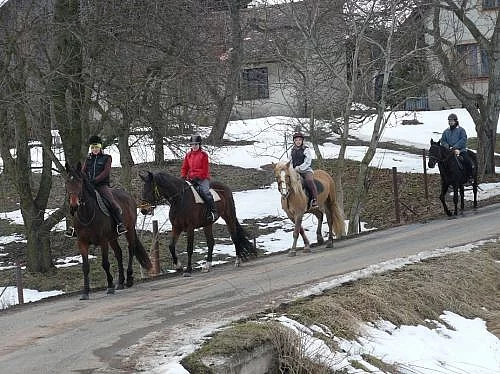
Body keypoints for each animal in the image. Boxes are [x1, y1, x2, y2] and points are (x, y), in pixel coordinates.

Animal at [65, 162, 153, 300]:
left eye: (79, 181)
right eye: (67, 181)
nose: (74, 205)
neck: (87, 214)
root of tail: (127, 195)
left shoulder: (103, 241)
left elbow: (105, 263)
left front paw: (110, 286)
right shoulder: (82, 242)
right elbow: (85, 266)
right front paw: (85, 292)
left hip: (129, 231)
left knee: (131, 249)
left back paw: (129, 279)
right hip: (112, 238)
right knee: (119, 253)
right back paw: (121, 282)